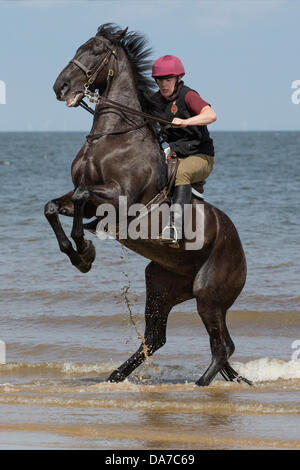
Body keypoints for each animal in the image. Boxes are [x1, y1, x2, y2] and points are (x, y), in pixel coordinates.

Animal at [45, 23, 251, 386]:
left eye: (95, 50)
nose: (61, 87)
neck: (114, 137)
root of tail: (239, 250)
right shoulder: (86, 198)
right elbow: (53, 207)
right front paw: (78, 256)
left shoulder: (120, 201)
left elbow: (82, 198)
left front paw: (85, 250)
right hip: (161, 284)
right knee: (158, 338)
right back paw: (114, 377)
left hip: (208, 294)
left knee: (221, 347)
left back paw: (198, 386)